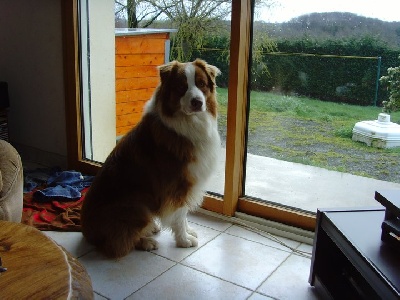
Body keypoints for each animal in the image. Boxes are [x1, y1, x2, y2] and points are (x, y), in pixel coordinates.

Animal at [79, 58, 220, 258]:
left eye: (201, 84)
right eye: (181, 86)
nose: (197, 102)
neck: (187, 122)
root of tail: (86, 231)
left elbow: (183, 214)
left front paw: (188, 231)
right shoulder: (178, 184)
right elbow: (180, 214)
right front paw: (183, 240)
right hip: (137, 204)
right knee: (117, 244)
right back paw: (146, 241)